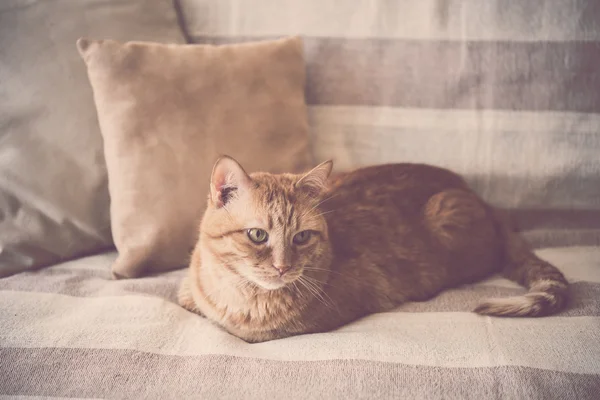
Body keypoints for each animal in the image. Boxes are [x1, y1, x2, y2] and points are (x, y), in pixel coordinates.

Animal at [177, 155, 568, 342]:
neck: (234, 294)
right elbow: (186, 297)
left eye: (301, 237)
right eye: (258, 235)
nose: (283, 267)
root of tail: (482, 198)